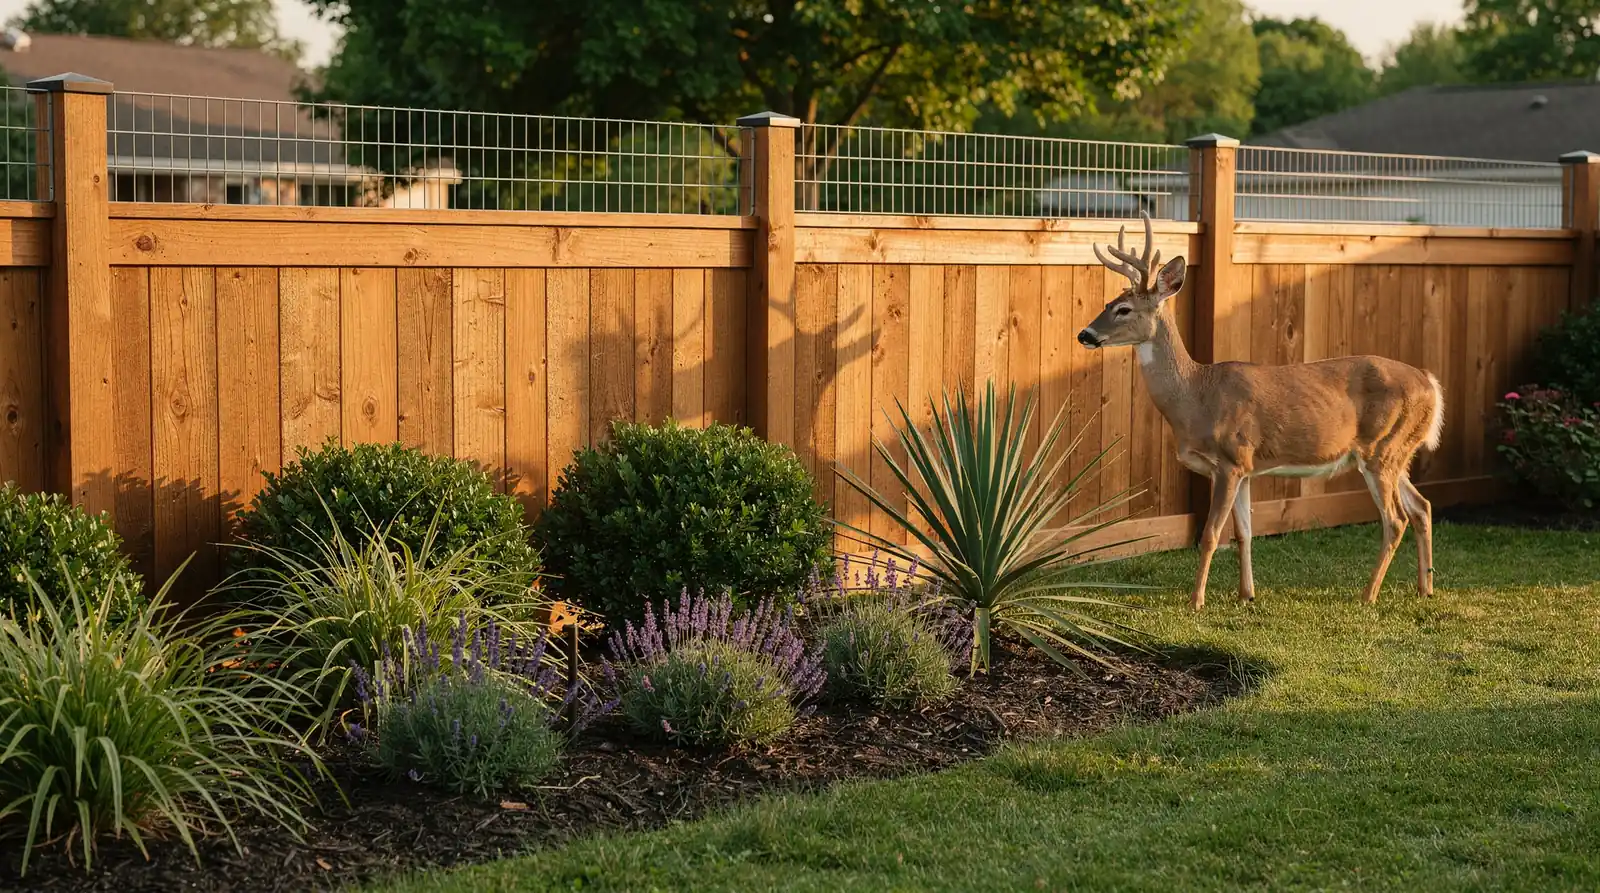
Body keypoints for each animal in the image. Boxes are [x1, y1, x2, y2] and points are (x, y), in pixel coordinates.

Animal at [1076, 211, 1444, 610]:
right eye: (1109, 303)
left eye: (1123, 309)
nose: (1084, 334)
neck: (1195, 397)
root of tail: (1431, 384)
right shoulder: (1248, 468)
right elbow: (1244, 533)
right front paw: (1247, 594)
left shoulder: (1230, 460)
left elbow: (1211, 534)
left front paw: (1196, 601)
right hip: (1397, 451)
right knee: (1423, 507)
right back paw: (1425, 588)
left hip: (1381, 447)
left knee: (1395, 519)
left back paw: (1368, 594)